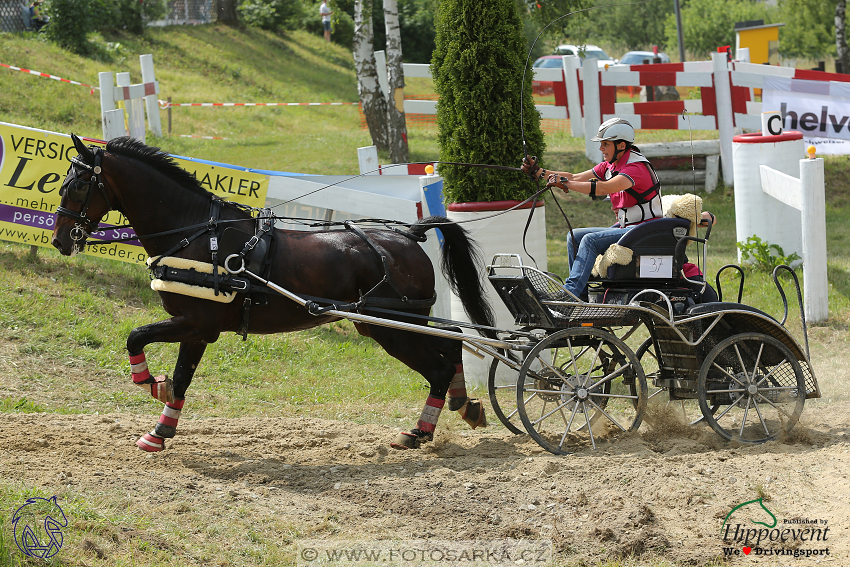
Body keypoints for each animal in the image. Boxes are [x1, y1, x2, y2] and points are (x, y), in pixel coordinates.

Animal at [53, 134, 494, 452]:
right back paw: (464, 404)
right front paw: (160, 430)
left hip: (393, 327)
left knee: (438, 367)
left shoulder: (196, 323)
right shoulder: (196, 329)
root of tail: (408, 234)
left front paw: (151, 385)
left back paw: (419, 431)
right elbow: (180, 378)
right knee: (453, 342)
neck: (198, 235)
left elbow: (138, 339)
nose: (60, 239)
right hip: (400, 322)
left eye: (77, 187)